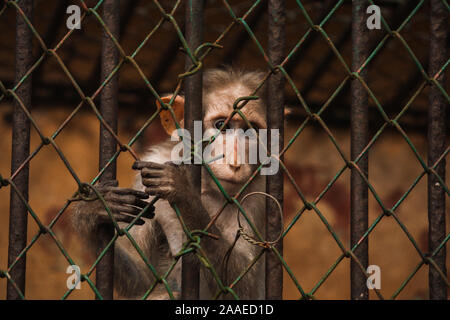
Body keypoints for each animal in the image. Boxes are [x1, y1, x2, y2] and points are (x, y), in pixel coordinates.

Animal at [71, 68, 270, 300]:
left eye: (251, 130)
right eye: (222, 125)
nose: (235, 162)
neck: (207, 184)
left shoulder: (257, 196)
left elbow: (243, 289)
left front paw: (182, 190)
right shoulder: (151, 168)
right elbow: (143, 279)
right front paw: (93, 209)